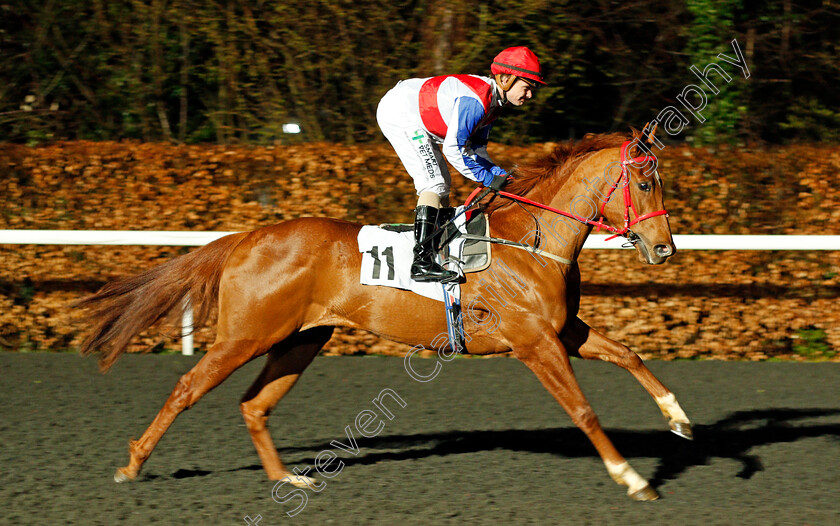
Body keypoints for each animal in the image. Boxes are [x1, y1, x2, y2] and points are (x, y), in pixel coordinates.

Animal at [77, 128, 688, 504]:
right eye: (644, 181)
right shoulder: (535, 342)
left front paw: (678, 417)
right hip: (246, 335)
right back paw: (132, 464)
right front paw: (633, 477)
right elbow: (583, 410)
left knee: (255, 404)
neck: (530, 241)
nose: (664, 249)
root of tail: (247, 237)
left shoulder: (563, 330)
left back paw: (288, 479)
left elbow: (629, 353)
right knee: (187, 387)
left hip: (302, 339)